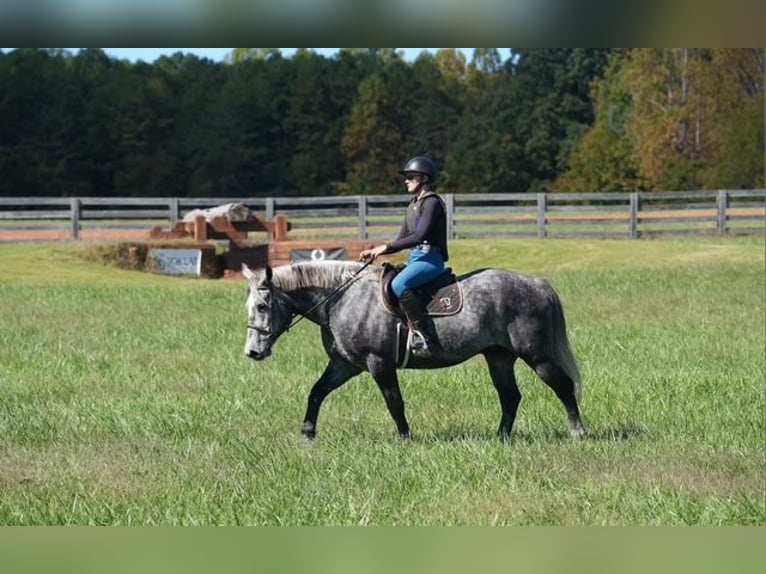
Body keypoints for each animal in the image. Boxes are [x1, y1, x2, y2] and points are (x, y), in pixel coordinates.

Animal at [242, 260, 586, 441]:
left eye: (262, 306)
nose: (252, 353)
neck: (342, 298)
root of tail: (537, 284)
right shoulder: (345, 364)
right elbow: (316, 392)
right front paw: (307, 433)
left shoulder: (378, 363)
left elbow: (394, 402)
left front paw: (405, 438)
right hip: (498, 357)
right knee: (511, 397)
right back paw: (501, 437)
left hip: (537, 357)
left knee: (563, 387)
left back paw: (577, 431)